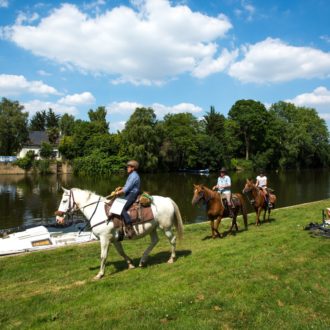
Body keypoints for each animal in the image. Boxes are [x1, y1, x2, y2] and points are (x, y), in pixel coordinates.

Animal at [54, 188, 183, 278]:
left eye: (64, 200)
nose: (58, 218)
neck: (98, 212)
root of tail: (167, 199)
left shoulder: (105, 238)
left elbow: (103, 256)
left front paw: (100, 274)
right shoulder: (114, 239)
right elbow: (121, 252)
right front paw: (130, 264)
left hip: (166, 228)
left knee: (172, 240)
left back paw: (171, 259)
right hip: (152, 228)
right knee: (154, 241)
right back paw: (142, 260)